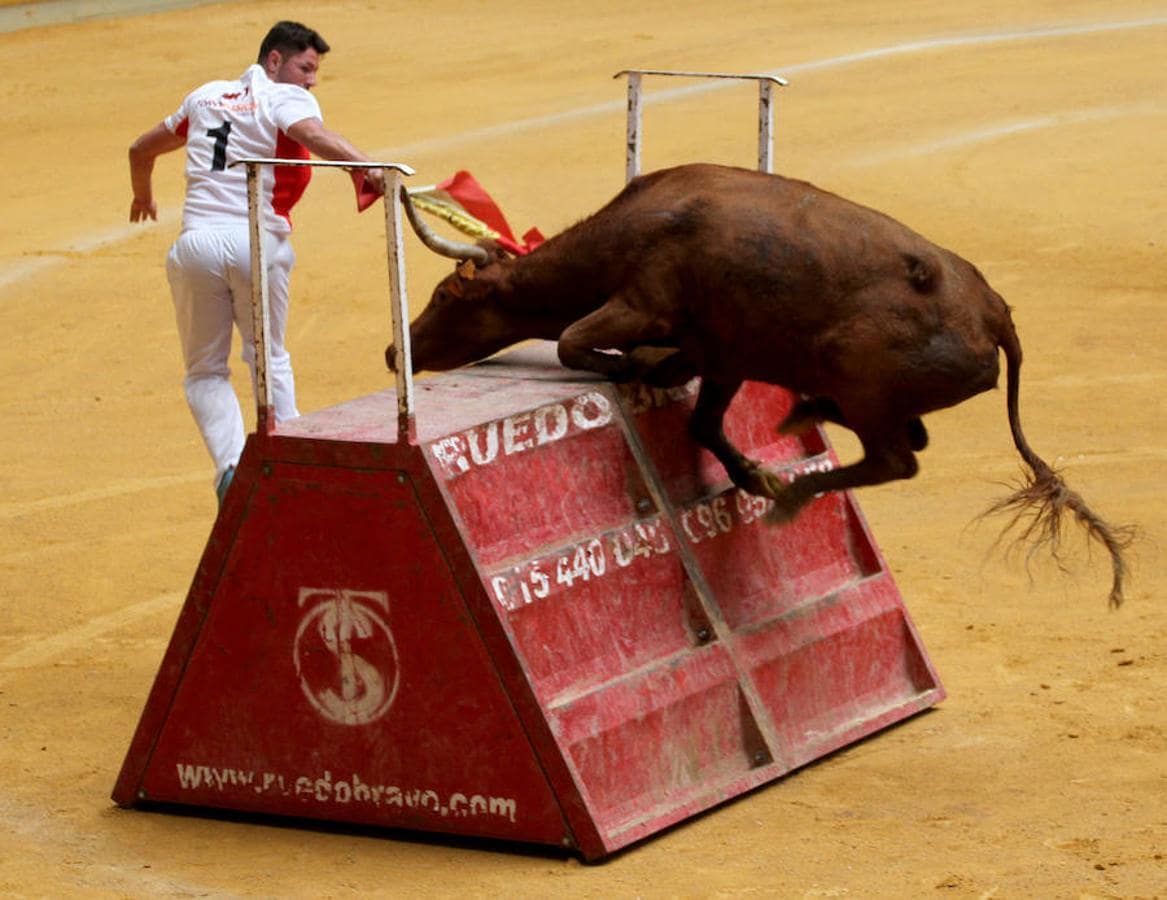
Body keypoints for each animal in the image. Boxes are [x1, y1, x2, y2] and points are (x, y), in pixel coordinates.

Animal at [389, 165, 1129, 607]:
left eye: (444, 297)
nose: (397, 348)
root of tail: (996, 309)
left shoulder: (640, 302)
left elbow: (576, 341)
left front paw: (638, 370)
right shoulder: (727, 356)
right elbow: (702, 421)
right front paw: (747, 469)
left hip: (860, 379)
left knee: (897, 458)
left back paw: (792, 491)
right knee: (906, 441)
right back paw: (799, 421)